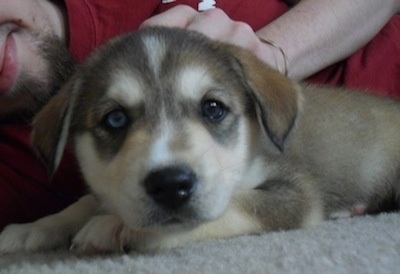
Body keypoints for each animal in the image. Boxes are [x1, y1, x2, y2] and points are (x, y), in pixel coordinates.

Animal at [0, 27, 398, 253]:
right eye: (115, 118)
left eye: (213, 108)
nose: (170, 184)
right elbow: (84, 201)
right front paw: (32, 229)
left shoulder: (296, 192)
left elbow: (234, 204)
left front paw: (114, 226)